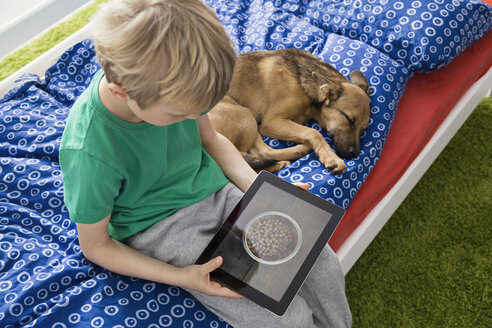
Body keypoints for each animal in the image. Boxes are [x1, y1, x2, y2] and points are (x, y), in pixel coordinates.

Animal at [209, 48, 370, 174]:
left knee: (260, 154)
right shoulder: (271, 122)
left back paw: (291, 156)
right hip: (245, 115)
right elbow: (314, 132)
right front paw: (331, 158)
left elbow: (304, 130)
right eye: (348, 119)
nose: (354, 154)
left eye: (363, 130)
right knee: (248, 154)